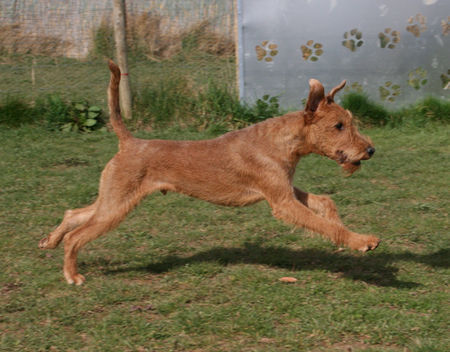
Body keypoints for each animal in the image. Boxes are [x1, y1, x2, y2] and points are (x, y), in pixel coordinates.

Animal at [40, 60, 382, 284]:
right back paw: (72, 274)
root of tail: (129, 142)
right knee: (77, 236)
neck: (282, 142)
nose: (370, 150)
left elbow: (325, 203)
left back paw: (50, 241)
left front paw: (342, 228)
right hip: (117, 204)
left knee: (75, 214)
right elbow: (322, 223)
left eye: (350, 122)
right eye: (339, 126)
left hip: (112, 198)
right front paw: (361, 241)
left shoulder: (285, 189)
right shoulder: (282, 203)